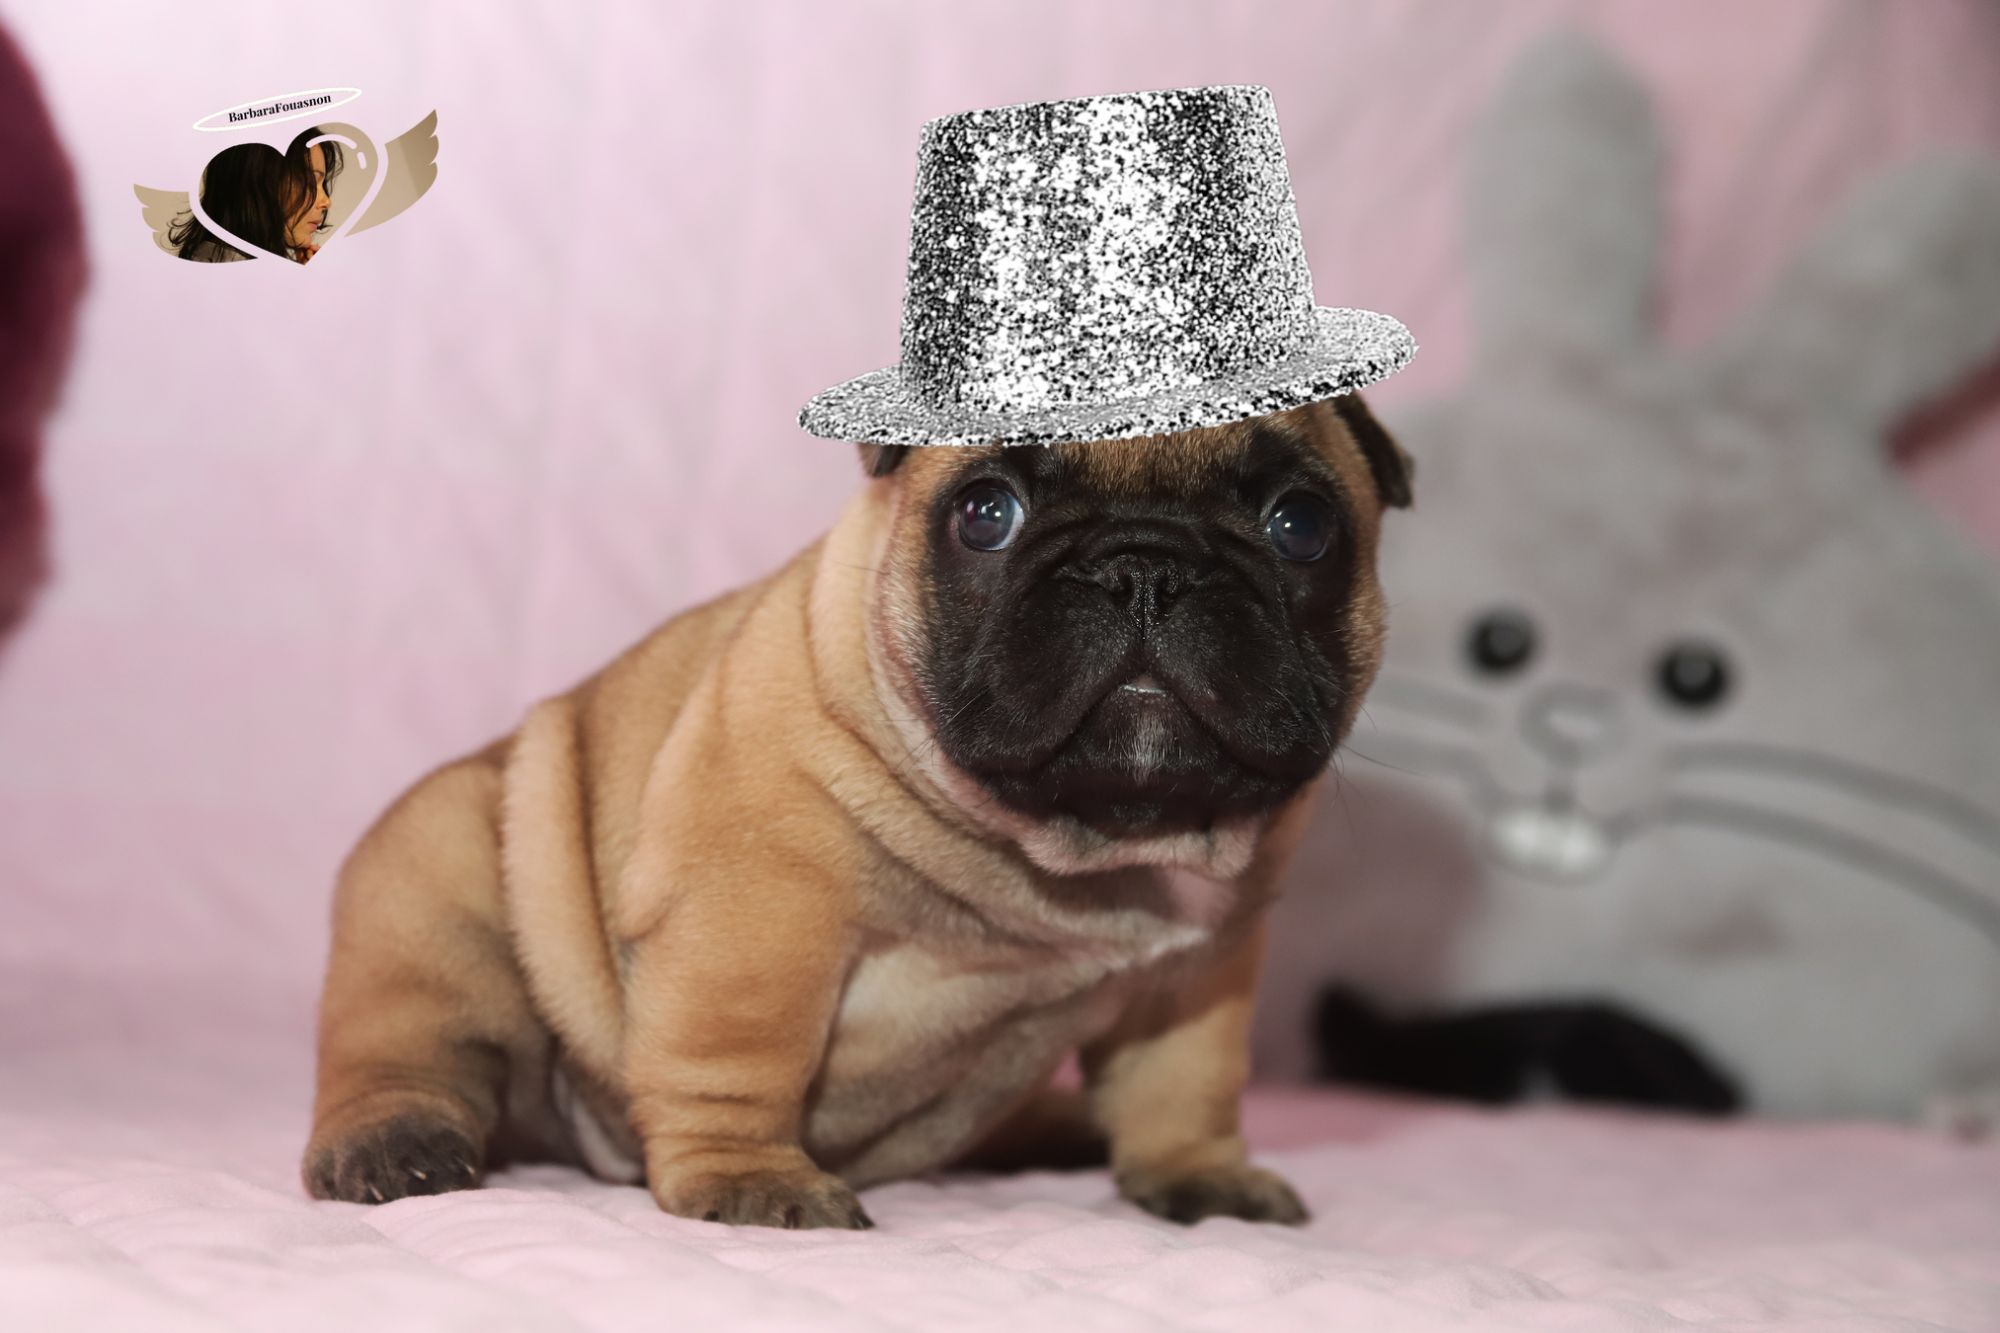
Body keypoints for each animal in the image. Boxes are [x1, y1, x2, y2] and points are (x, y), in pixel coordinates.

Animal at [302, 393, 1413, 1229]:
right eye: (985, 512)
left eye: (1300, 526)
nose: (1145, 567)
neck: (1081, 858)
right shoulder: (757, 912)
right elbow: (744, 1053)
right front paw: (750, 1176)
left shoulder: (1195, 974)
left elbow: (1183, 1080)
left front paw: (1199, 1173)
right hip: (439, 879)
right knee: (405, 1046)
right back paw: (394, 1143)